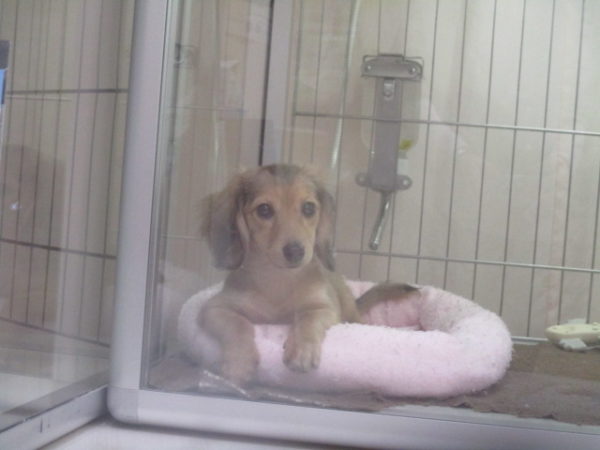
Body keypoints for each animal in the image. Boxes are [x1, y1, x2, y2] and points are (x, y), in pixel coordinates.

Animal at [199, 164, 415, 384]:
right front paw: (239, 361)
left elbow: (308, 319)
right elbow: (238, 324)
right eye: (264, 209)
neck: (278, 280)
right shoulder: (213, 308)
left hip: (350, 314)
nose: (295, 252)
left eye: (309, 208)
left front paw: (302, 350)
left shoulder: (325, 308)